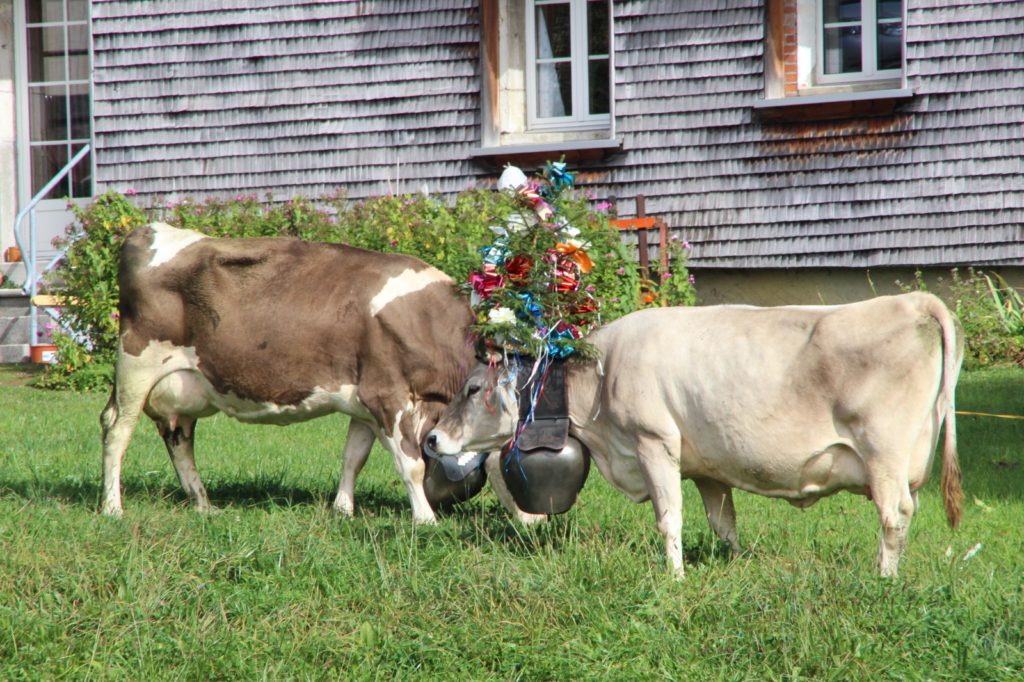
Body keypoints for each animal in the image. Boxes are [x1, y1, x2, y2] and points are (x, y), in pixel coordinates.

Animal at [100, 222, 486, 523]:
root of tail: (149, 229)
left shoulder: (364, 401)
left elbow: (353, 457)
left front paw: (343, 511)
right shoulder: (387, 395)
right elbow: (410, 463)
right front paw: (425, 519)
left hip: (182, 385)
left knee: (179, 437)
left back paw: (204, 505)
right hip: (136, 365)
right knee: (117, 430)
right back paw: (112, 507)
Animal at [426, 293, 964, 577]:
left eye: (472, 388)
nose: (431, 439)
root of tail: (910, 299)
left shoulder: (653, 443)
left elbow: (670, 520)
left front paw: (675, 577)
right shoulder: (709, 469)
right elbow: (723, 523)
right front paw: (737, 565)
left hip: (883, 454)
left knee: (893, 515)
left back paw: (884, 580)